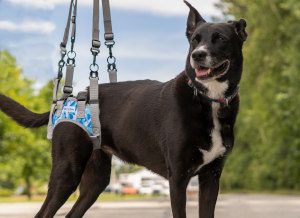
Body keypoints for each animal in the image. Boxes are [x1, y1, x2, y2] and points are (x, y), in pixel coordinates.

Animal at [0, 1, 246, 216]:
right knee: (43, 213)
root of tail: (67, 100)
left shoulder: (211, 176)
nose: (197, 55)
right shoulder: (178, 177)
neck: (208, 98)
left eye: (220, 39)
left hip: (96, 179)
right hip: (67, 171)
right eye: (195, 40)